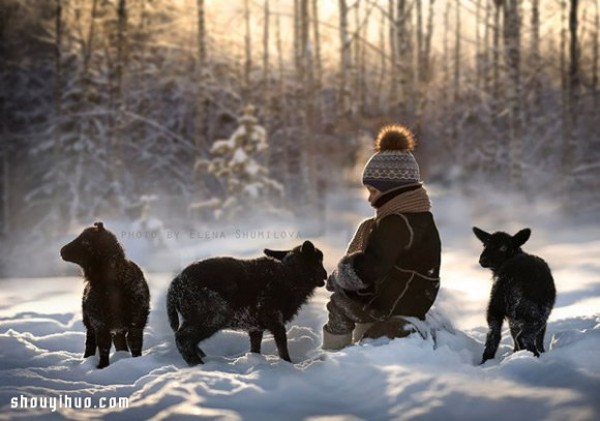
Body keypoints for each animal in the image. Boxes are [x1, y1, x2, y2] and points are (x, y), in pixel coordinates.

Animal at [59, 221, 151, 370]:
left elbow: (135, 344)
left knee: (119, 342)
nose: (62, 251)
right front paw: (102, 367)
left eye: (86, 241)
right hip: (89, 321)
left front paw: (135, 361)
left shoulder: (136, 321)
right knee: (91, 342)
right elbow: (104, 346)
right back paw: (87, 359)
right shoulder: (99, 322)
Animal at [165, 240, 328, 364]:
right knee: (182, 338)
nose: (326, 275)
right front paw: (288, 364)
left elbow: (255, 348)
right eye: (318, 261)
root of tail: (175, 286)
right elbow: (282, 345)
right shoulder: (274, 318)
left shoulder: (255, 326)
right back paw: (197, 363)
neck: (289, 274)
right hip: (213, 314)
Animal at [472, 228, 556, 362]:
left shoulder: (512, 318)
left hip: (496, 305)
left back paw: (487, 360)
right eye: (485, 244)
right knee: (524, 337)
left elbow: (512, 333)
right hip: (532, 310)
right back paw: (532, 356)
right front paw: (542, 351)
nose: (482, 260)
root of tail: (508, 279)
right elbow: (540, 336)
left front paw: (515, 351)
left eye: (503, 247)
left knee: (494, 334)